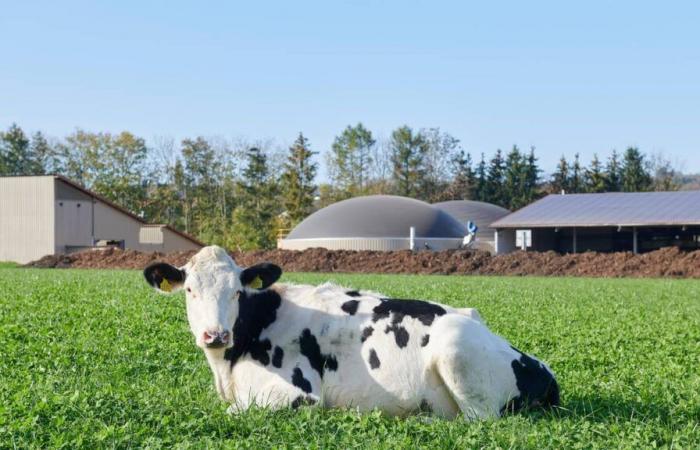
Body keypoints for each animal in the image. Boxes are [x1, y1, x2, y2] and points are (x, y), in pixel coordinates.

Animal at [145, 246, 560, 418]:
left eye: (236, 291)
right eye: (189, 290)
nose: (215, 335)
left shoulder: (301, 394)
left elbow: (235, 411)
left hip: (456, 350)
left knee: (480, 420)